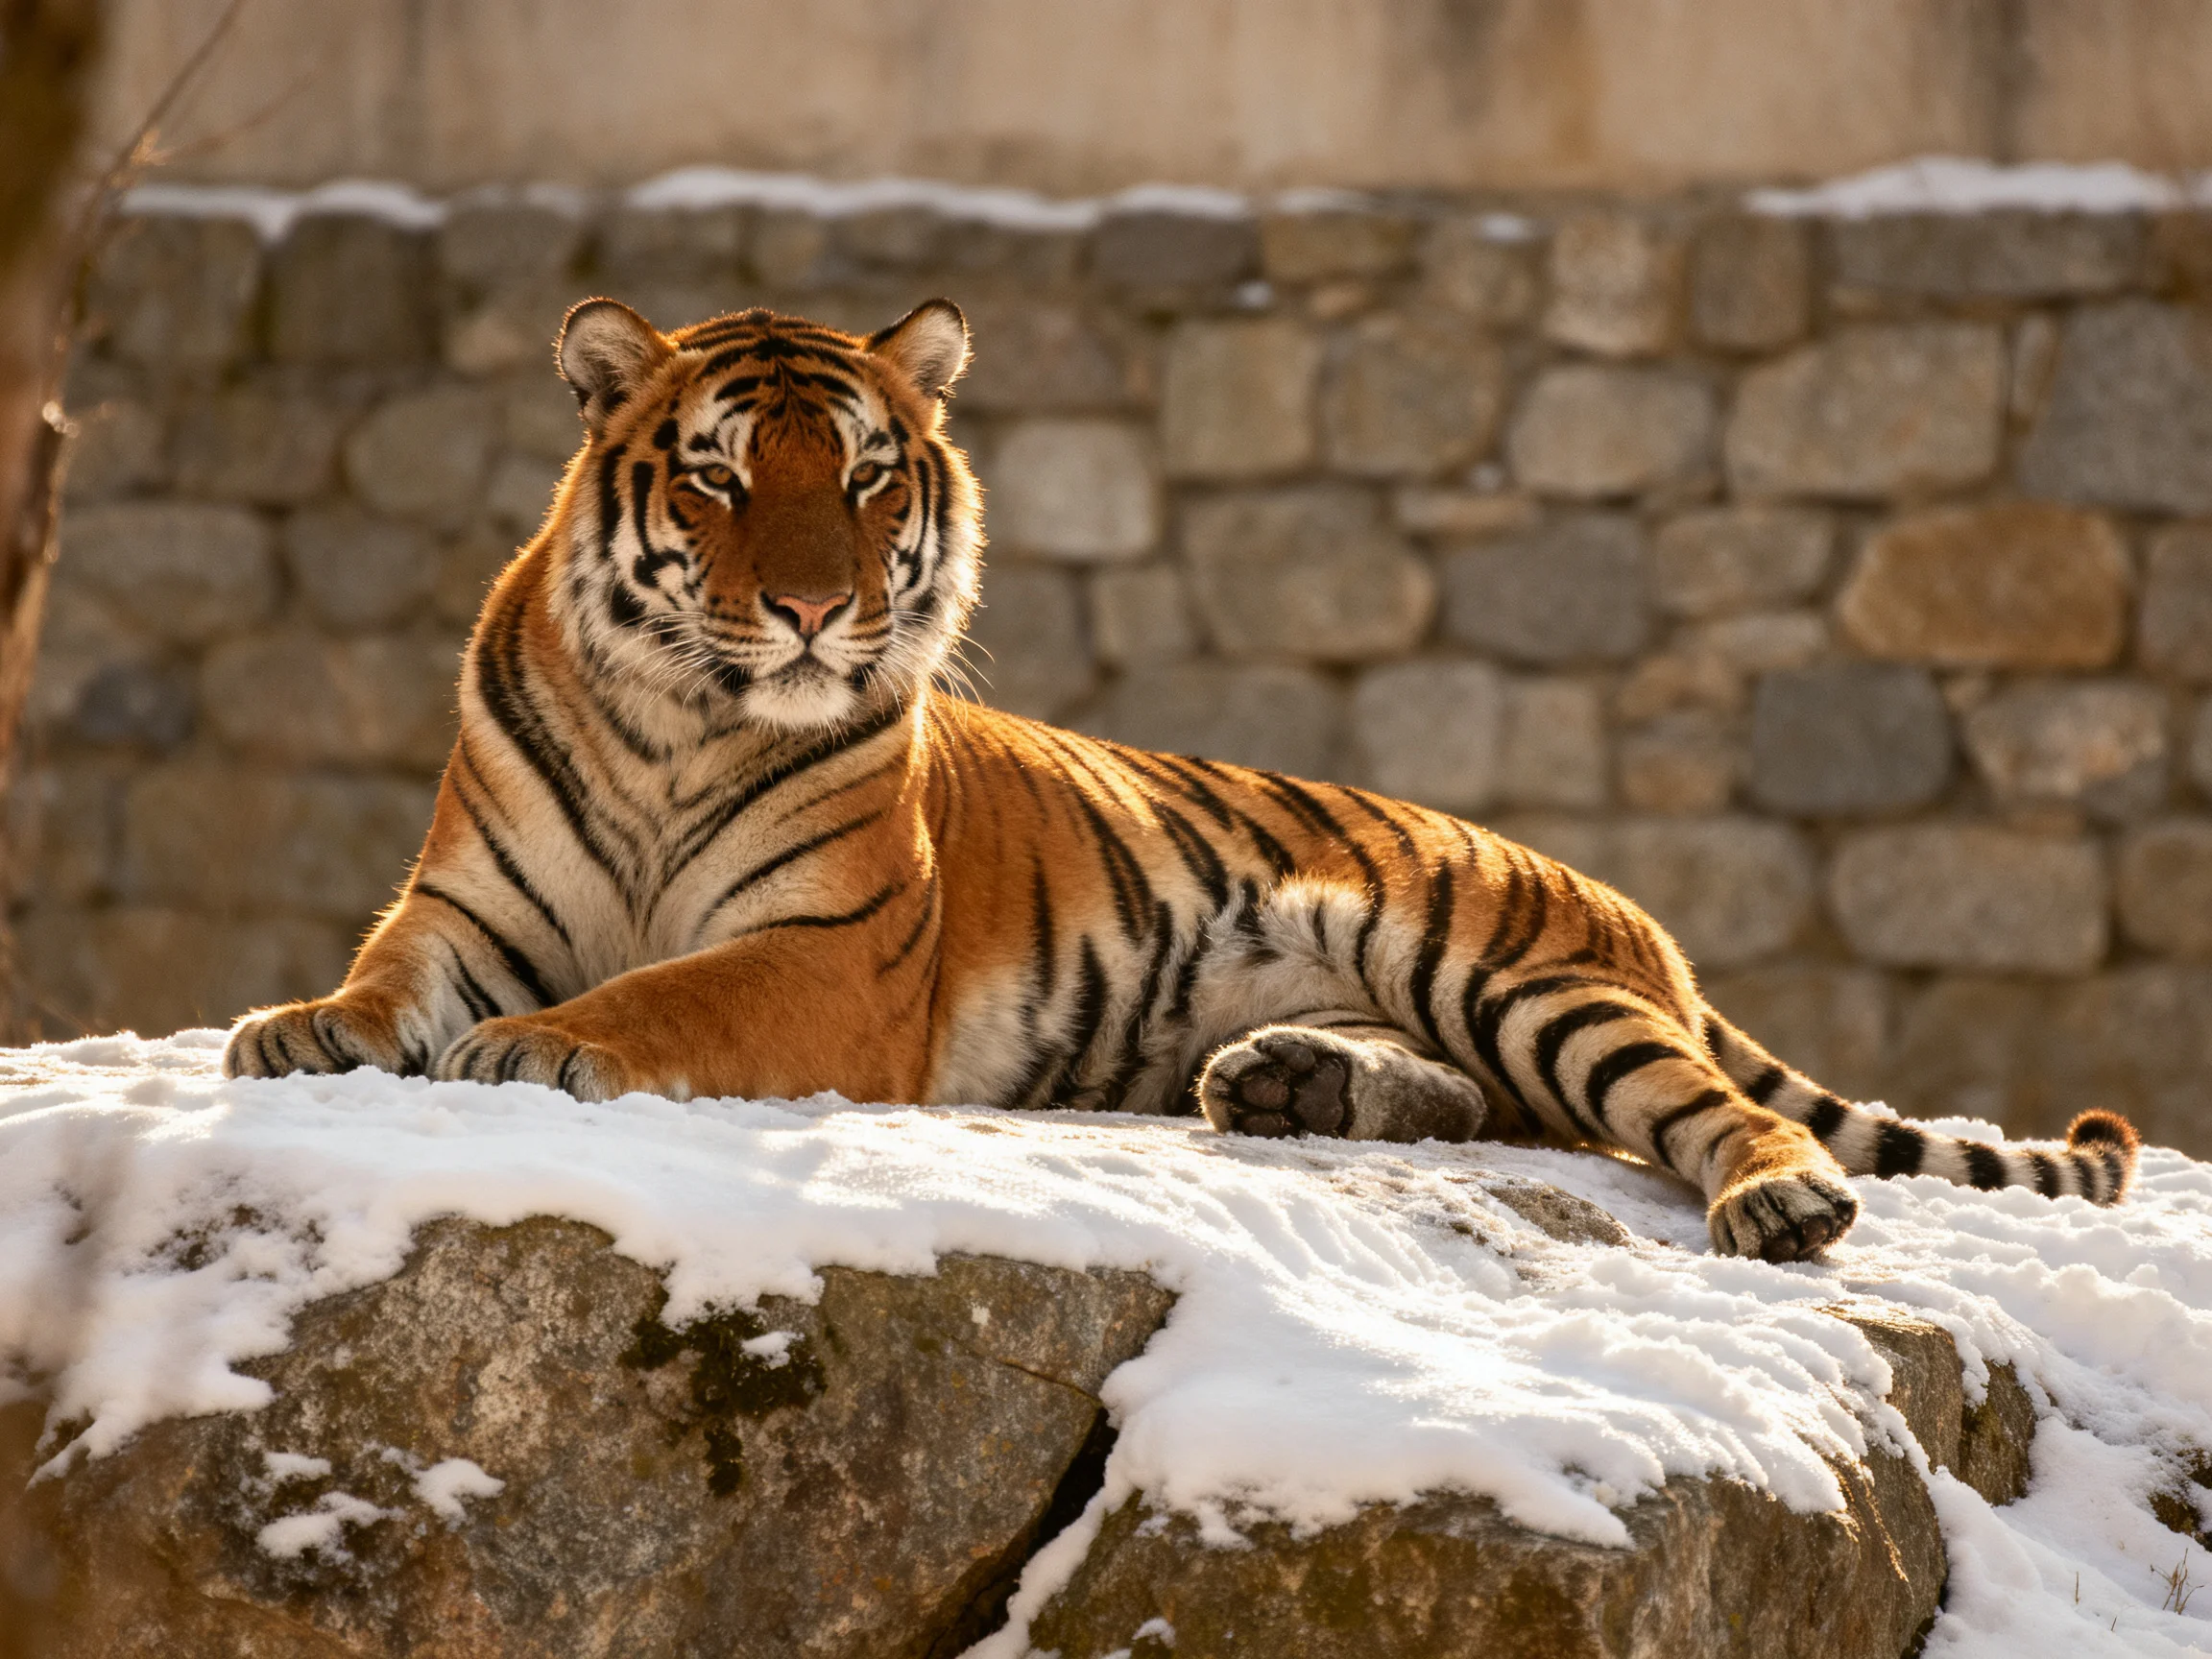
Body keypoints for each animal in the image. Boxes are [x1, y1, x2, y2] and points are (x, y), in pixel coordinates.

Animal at [222, 295, 2141, 1262]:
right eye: (715, 477)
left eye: (862, 476)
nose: (813, 611)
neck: (679, 715)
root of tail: (1614, 900)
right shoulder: (465, 900)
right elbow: (387, 978)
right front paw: (303, 1028)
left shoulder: (829, 957)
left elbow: (668, 991)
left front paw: (549, 1044)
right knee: (1497, 1105)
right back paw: (1288, 1081)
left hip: (1511, 972)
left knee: (1677, 1113)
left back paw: (1779, 1201)